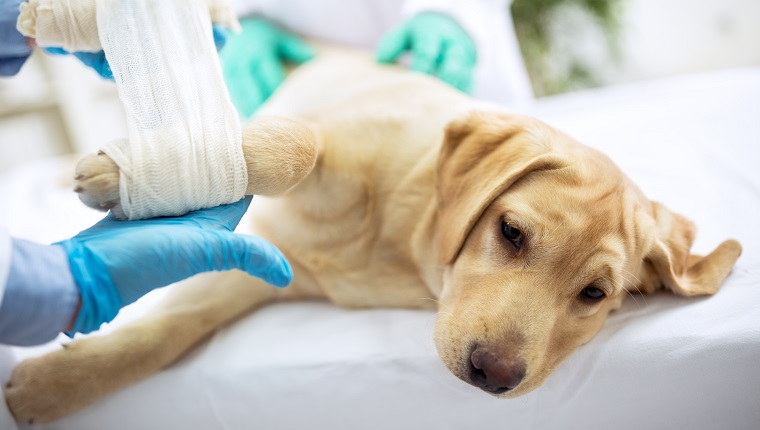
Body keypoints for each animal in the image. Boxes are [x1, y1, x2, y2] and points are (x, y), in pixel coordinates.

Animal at [2, 47, 740, 424]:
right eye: (510, 232)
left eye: (593, 296)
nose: (492, 376)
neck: (405, 243)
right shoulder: (327, 135)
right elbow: (295, 144)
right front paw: (132, 173)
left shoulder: (264, 272)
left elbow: (167, 332)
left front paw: (53, 386)